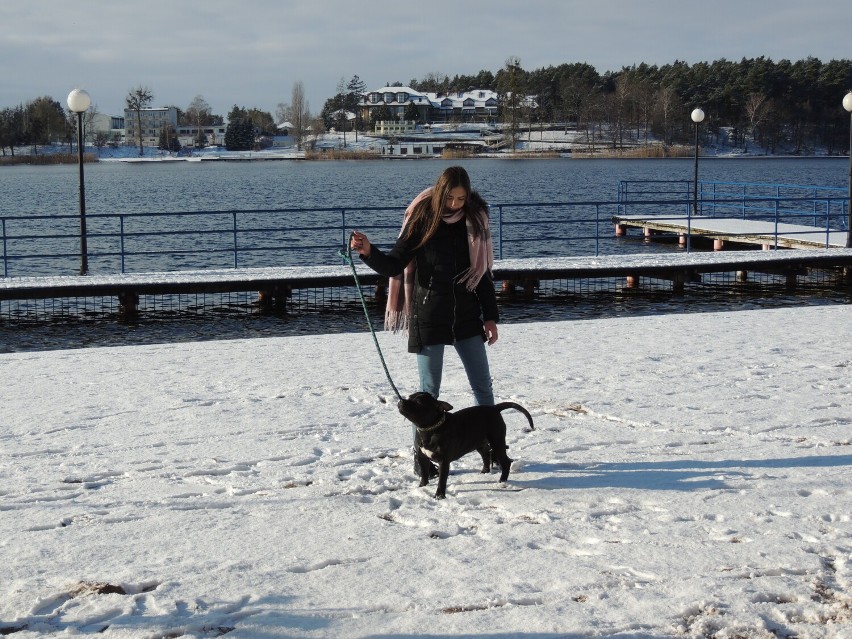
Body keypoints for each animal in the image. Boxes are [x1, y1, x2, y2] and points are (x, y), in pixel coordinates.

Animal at [398, 390, 532, 500]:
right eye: (409, 397)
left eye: (419, 402)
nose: (401, 400)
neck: (428, 430)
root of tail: (494, 408)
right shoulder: (422, 457)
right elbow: (424, 474)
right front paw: (422, 487)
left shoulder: (444, 461)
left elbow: (442, 480)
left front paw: (439, 496)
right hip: (479, 443)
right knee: (486, 454)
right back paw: (484, 471)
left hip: (497, 441)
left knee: (505, 461)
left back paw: (502, 481)